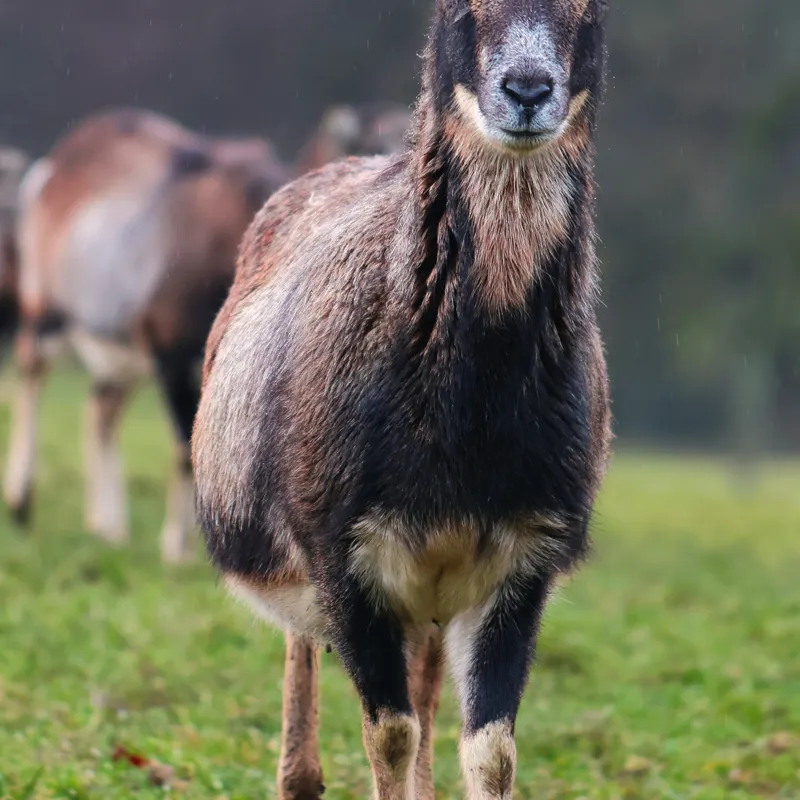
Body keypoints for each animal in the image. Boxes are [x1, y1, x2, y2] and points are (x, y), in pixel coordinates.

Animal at [3, 109, 288, 562]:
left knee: (100, 411)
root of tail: (51, 171)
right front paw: (177, 550)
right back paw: (21, 502)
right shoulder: (172, 354)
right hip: (44, 315)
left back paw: (110, 529)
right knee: (33, 376)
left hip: (124, 357)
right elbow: (185, 449)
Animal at [194, 0, 611, 797]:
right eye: (461, 9)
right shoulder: (341, 554)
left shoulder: (525, 559)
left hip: (431, 600)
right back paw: (299, 774)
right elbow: (389, 733)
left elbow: (489, 747)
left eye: (592, 11)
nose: (527, 89)